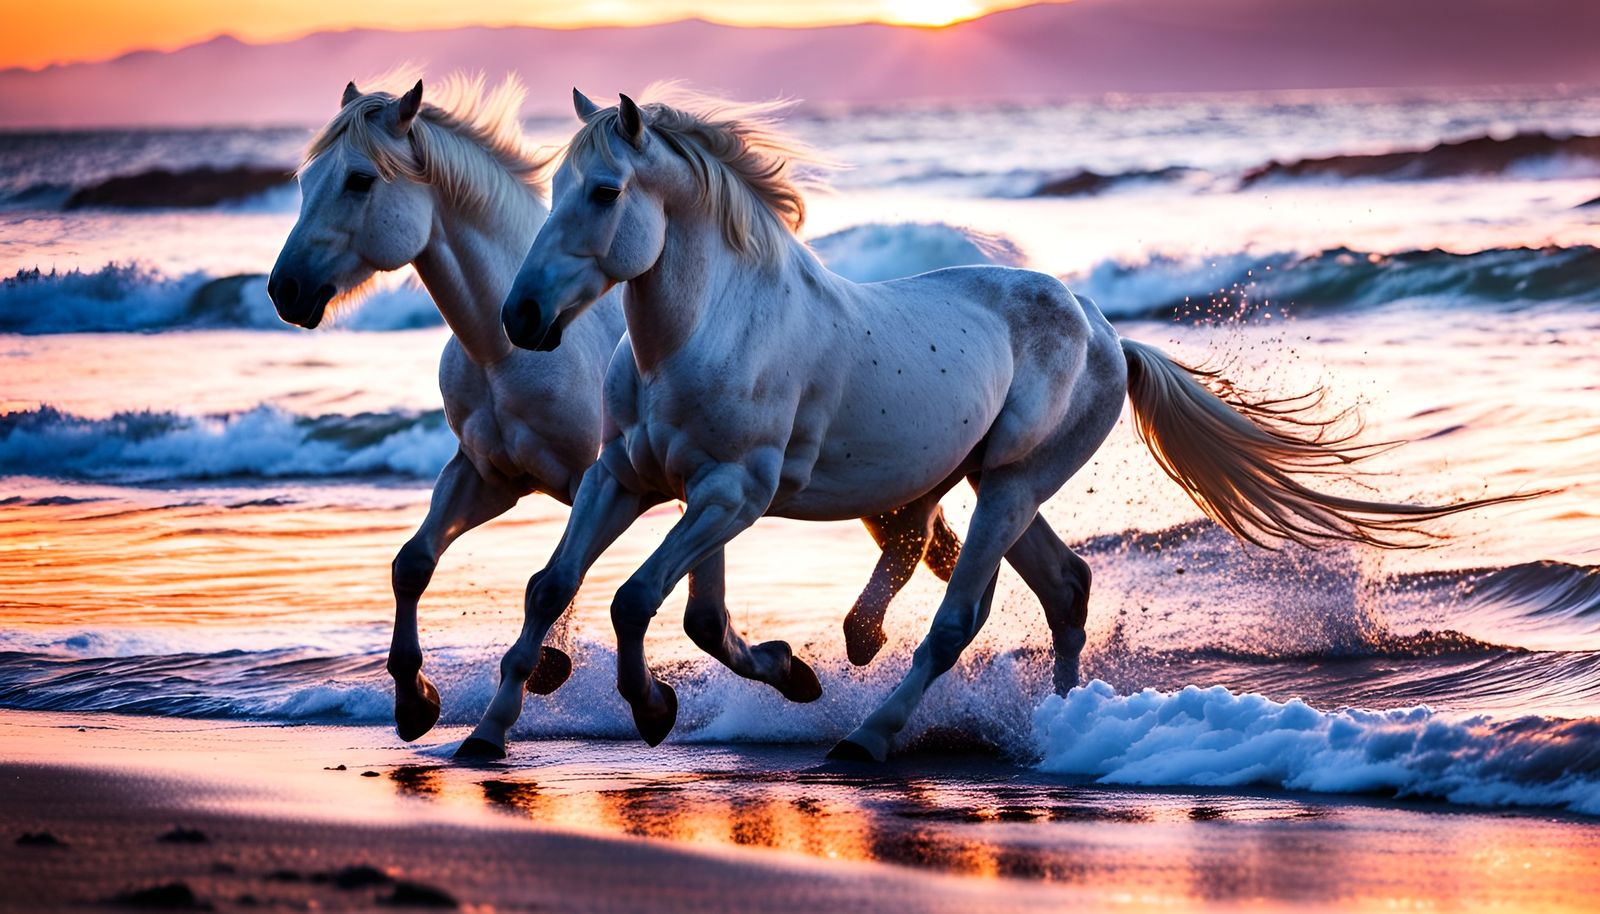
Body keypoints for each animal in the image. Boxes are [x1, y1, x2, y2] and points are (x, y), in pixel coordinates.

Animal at [265, 75, 980, 750]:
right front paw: (419, 703)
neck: (506, 354)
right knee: (933, 549)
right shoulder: (491, 474)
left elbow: (626, 596)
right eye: (303, 181)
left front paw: (566, 677)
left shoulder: (626, 479)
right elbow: (419, 564)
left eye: (359, 180)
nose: (285, 290)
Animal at [477, 85, 1531, 762]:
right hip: (999, 488)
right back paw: (1057, 728)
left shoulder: (729, 494)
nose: (521, 318)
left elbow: (637, 600)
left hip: (1013, 486)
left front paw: (657, 709)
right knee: (1066, 588)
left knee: (962, 617)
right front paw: (488, 735)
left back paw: (869, 738)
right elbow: (562, 587)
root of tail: (1106, 331)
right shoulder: (627, 479)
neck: (711, 329)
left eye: (605, 193)